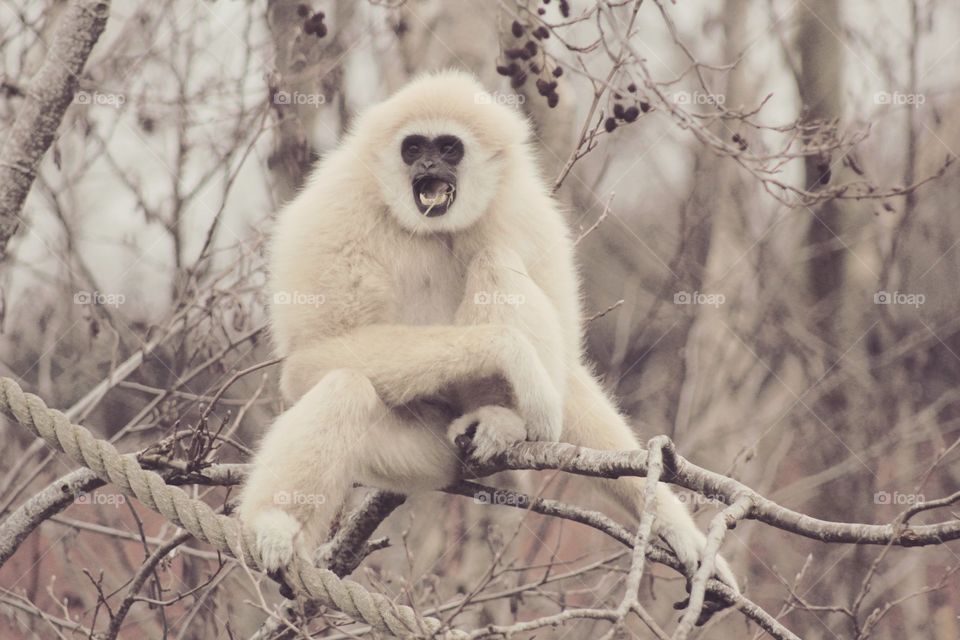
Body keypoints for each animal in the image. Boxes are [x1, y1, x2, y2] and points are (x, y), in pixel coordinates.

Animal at [238, 70, 738, 593]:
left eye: (448, 148)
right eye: (413, 148)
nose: (429, 163)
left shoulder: (527, 212)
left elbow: (567, 372)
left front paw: (676, 528)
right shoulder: (333, 210)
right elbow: (308, 359)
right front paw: (511, 352)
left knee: (497, 261)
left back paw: (500, 425)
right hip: (424, 455)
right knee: (344, 386)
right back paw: (274, 523)